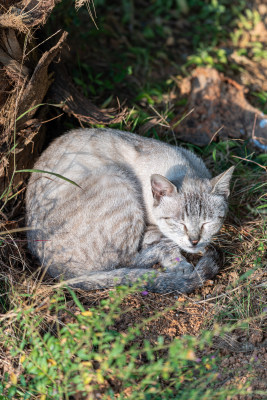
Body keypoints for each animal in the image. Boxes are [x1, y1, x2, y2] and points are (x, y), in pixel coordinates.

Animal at [25, 128, 234, 294]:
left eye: (207, 223)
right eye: (179, 223)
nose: (194, 241)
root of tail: (56, 272)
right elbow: (166, 246)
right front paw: (180, 264)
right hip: (116, 180)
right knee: (126, 263)